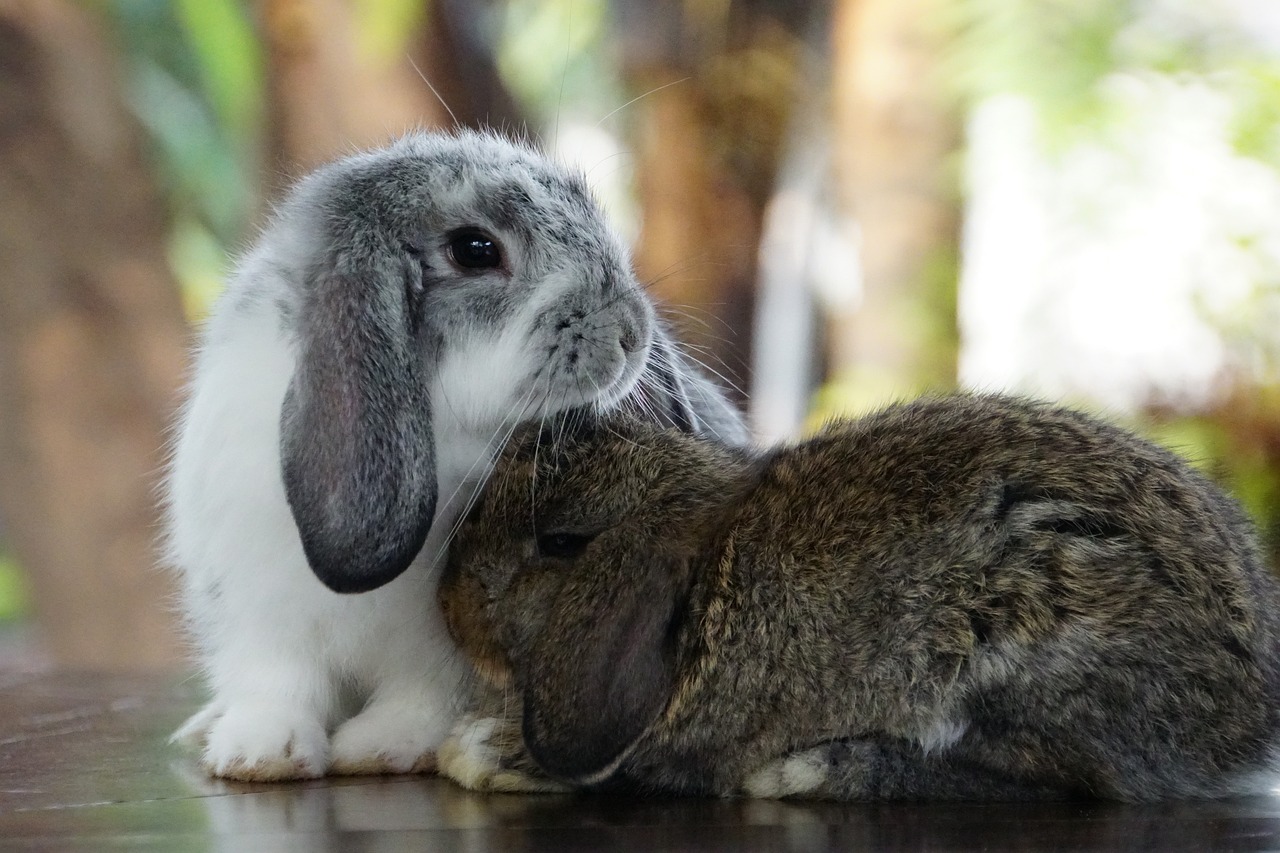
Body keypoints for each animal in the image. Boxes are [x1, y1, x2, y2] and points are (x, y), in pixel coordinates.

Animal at [161, 129, 747, 778]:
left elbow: (423, 696)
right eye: (474, 249)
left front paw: (381, 746)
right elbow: (275, 683)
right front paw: (264, 753)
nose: (631, 333)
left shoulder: (442, 644)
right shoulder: (256, 612)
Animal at [435, 391, 1280, 799]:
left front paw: (491, 755)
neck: (706, 571)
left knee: (1068, 783)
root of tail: (1245, 717)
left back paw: (812, 772)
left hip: (1030, 645)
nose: (448, 607)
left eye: (559, 541)